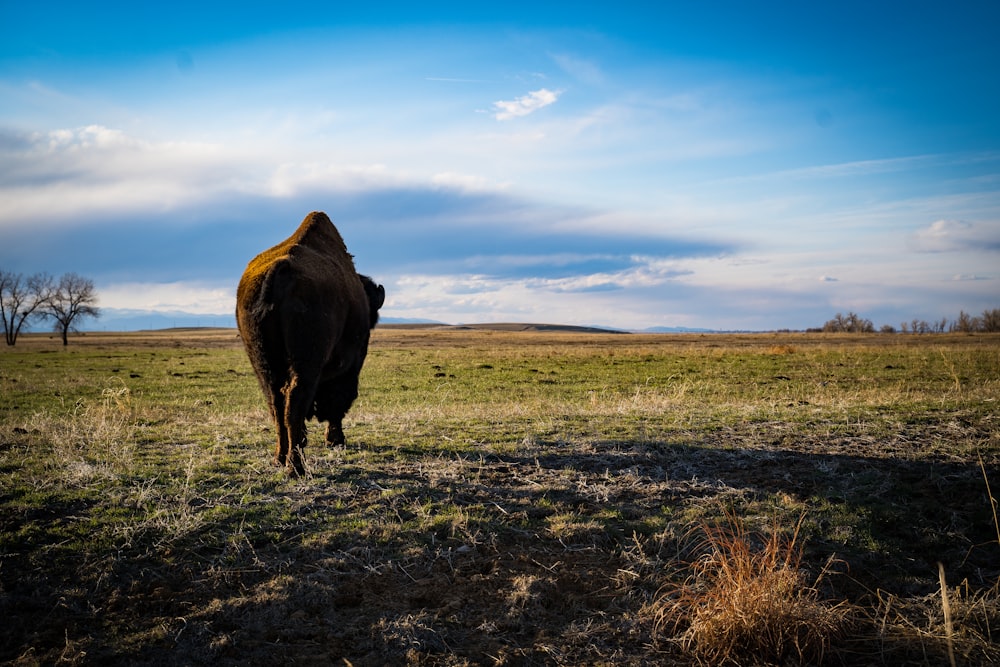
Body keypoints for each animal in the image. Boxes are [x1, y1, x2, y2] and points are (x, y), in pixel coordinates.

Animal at [236, 211, 384, 478]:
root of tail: (281, 270)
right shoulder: (351, 364)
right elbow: (340, 399)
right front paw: (335, 439)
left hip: (263, 363)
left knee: (276, 403)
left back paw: (280, 459)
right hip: (307, 362)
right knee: (295, 401)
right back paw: (296, 467)